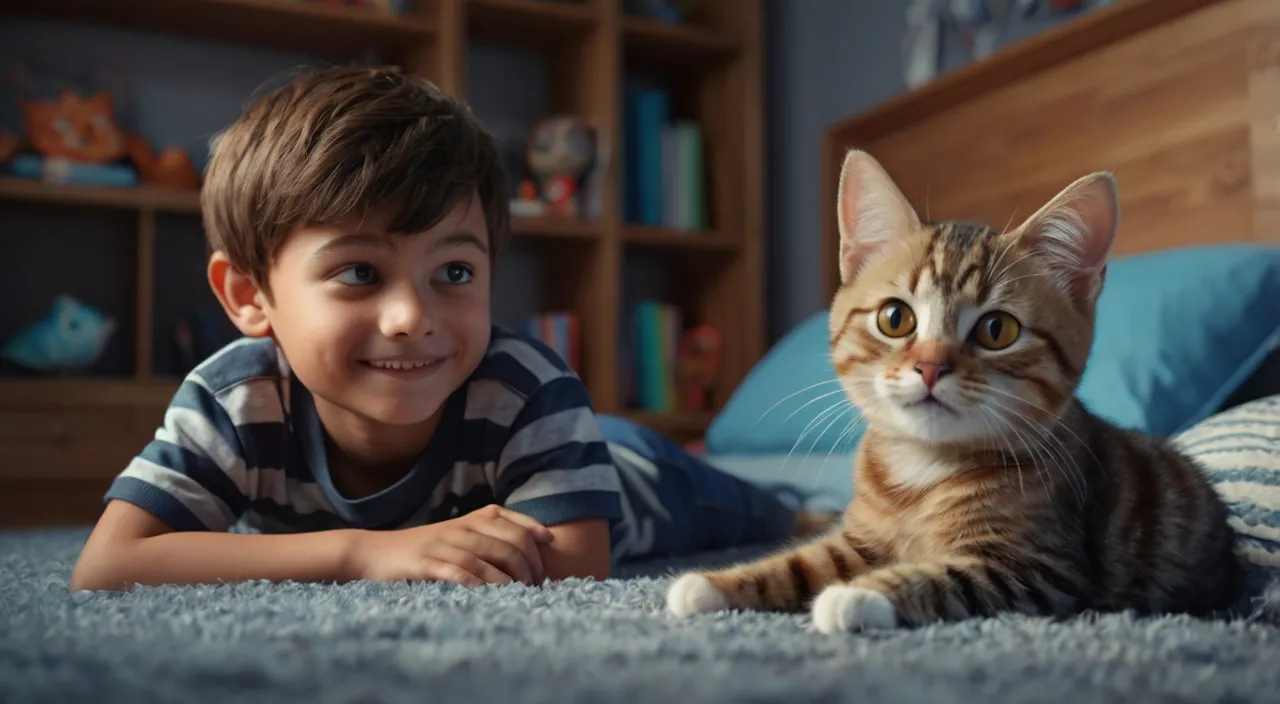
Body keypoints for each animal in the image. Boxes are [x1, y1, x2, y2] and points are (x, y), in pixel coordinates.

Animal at [670, 149, 1239, 634]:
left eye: (997, 330)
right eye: (895, 318)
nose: (930, 367)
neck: (922, 467)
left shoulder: (1042, 568)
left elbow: (946, 577)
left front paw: (858, 595)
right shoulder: (860, 536)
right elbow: (803, 560)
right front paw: (710, 584)